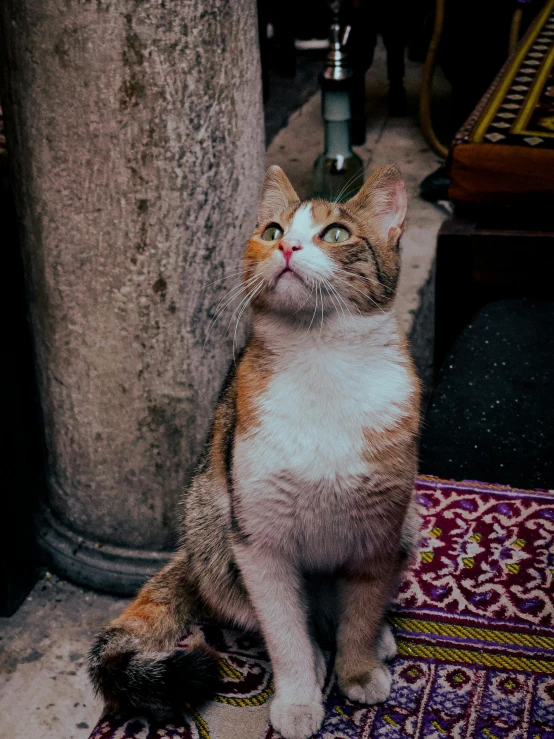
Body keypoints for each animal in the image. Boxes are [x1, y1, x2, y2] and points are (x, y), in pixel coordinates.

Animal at [89, 165, 418, 739]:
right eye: (270, 230)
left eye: (336, 233)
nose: (286, 246)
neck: (321, 361)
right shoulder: (259, 542)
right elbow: (286, 634)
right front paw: (299, 697)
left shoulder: (378, 528)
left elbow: (360, 611)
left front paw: (358, 669)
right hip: (214, 527)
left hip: (407, 526)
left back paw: (376, 640)